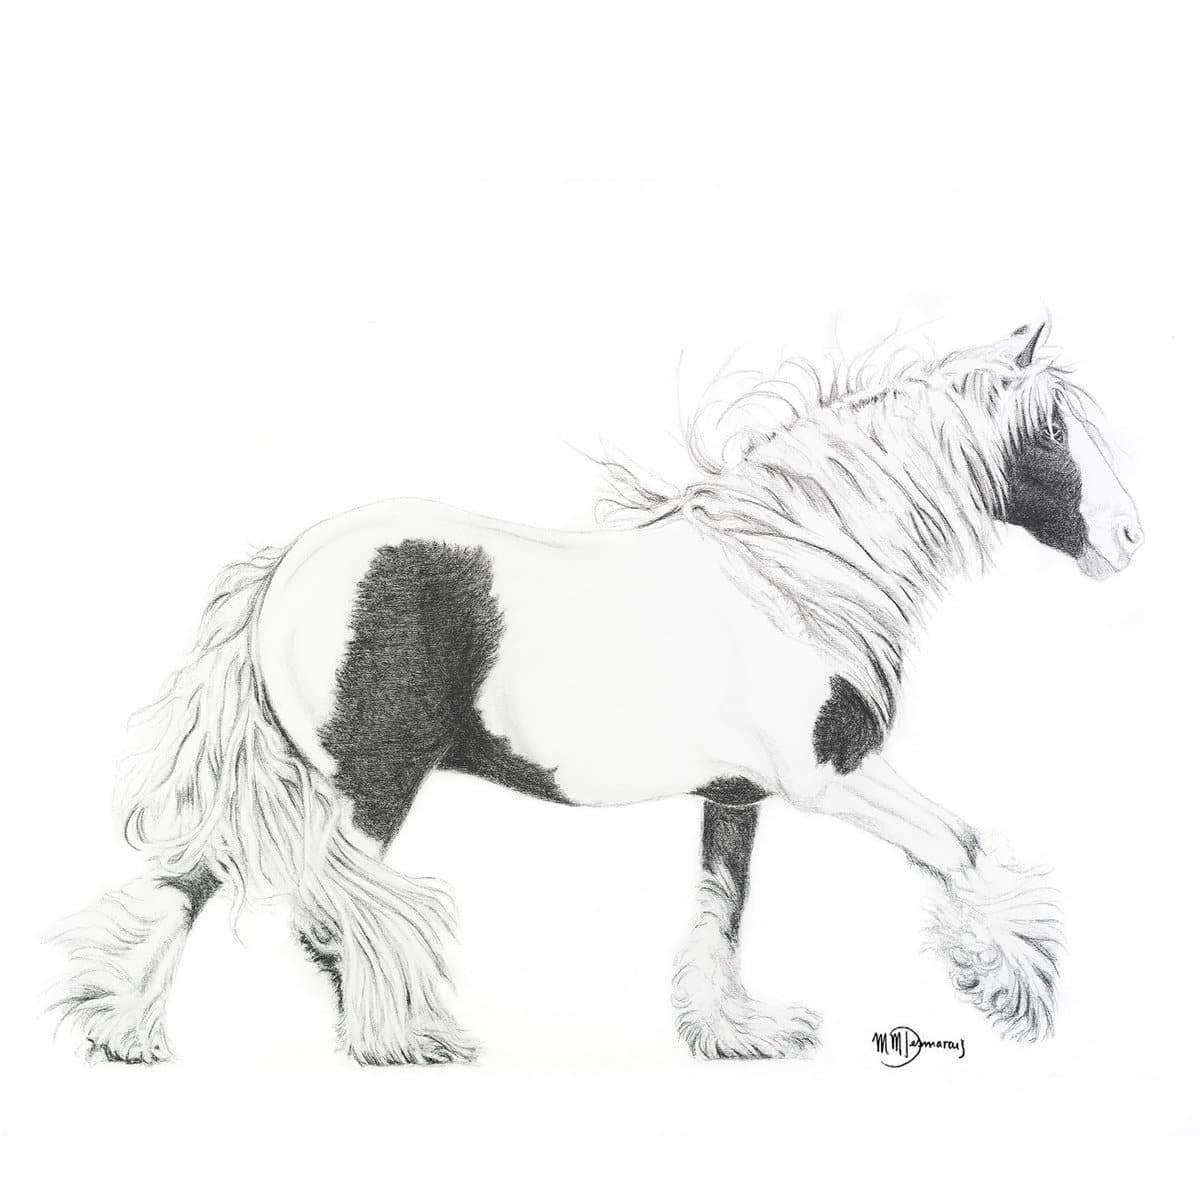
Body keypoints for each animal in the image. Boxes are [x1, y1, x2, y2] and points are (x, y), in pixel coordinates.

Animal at [48, 321, 1142, 1065]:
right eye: (1050, 434)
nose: (1129, 538)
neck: (792, 570)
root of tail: (286, 569)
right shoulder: (832, 774)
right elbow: (960, 845)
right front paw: (1014, 989)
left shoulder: (739, 795)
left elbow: (722, 906)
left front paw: (737, 1032)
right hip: (372, 782)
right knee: (331, 908)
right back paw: (407, 1042)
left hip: (306, 781)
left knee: (202, 883)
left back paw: (127, 1033)